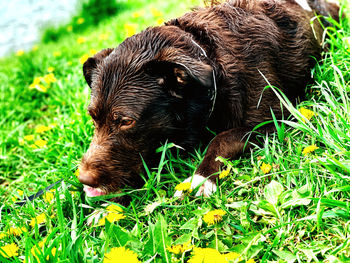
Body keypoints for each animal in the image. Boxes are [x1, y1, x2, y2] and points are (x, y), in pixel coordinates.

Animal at [78, 0, 338, 198]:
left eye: (126, 122)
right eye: (93, 118)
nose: (83, 179)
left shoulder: (275, 120)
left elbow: (222, 139)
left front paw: (199, 178)